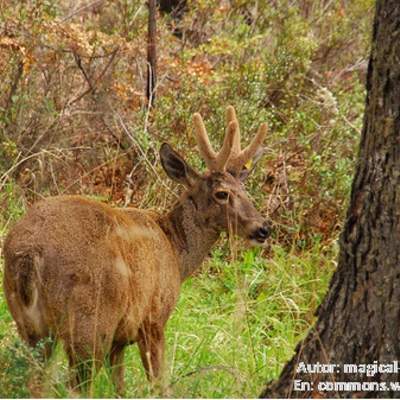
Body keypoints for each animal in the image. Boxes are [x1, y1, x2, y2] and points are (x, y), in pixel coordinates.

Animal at [2, 104, 268, 396]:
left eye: (244, 189)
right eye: (222, 193)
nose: (262, 228)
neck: (175, 251)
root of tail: (30, 252)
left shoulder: (119, 339)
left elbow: (120, 387)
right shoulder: (153, 319)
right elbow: (159, 383)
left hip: (28, 323)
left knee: (34, 381)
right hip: (89, 322)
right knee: (78, 386)